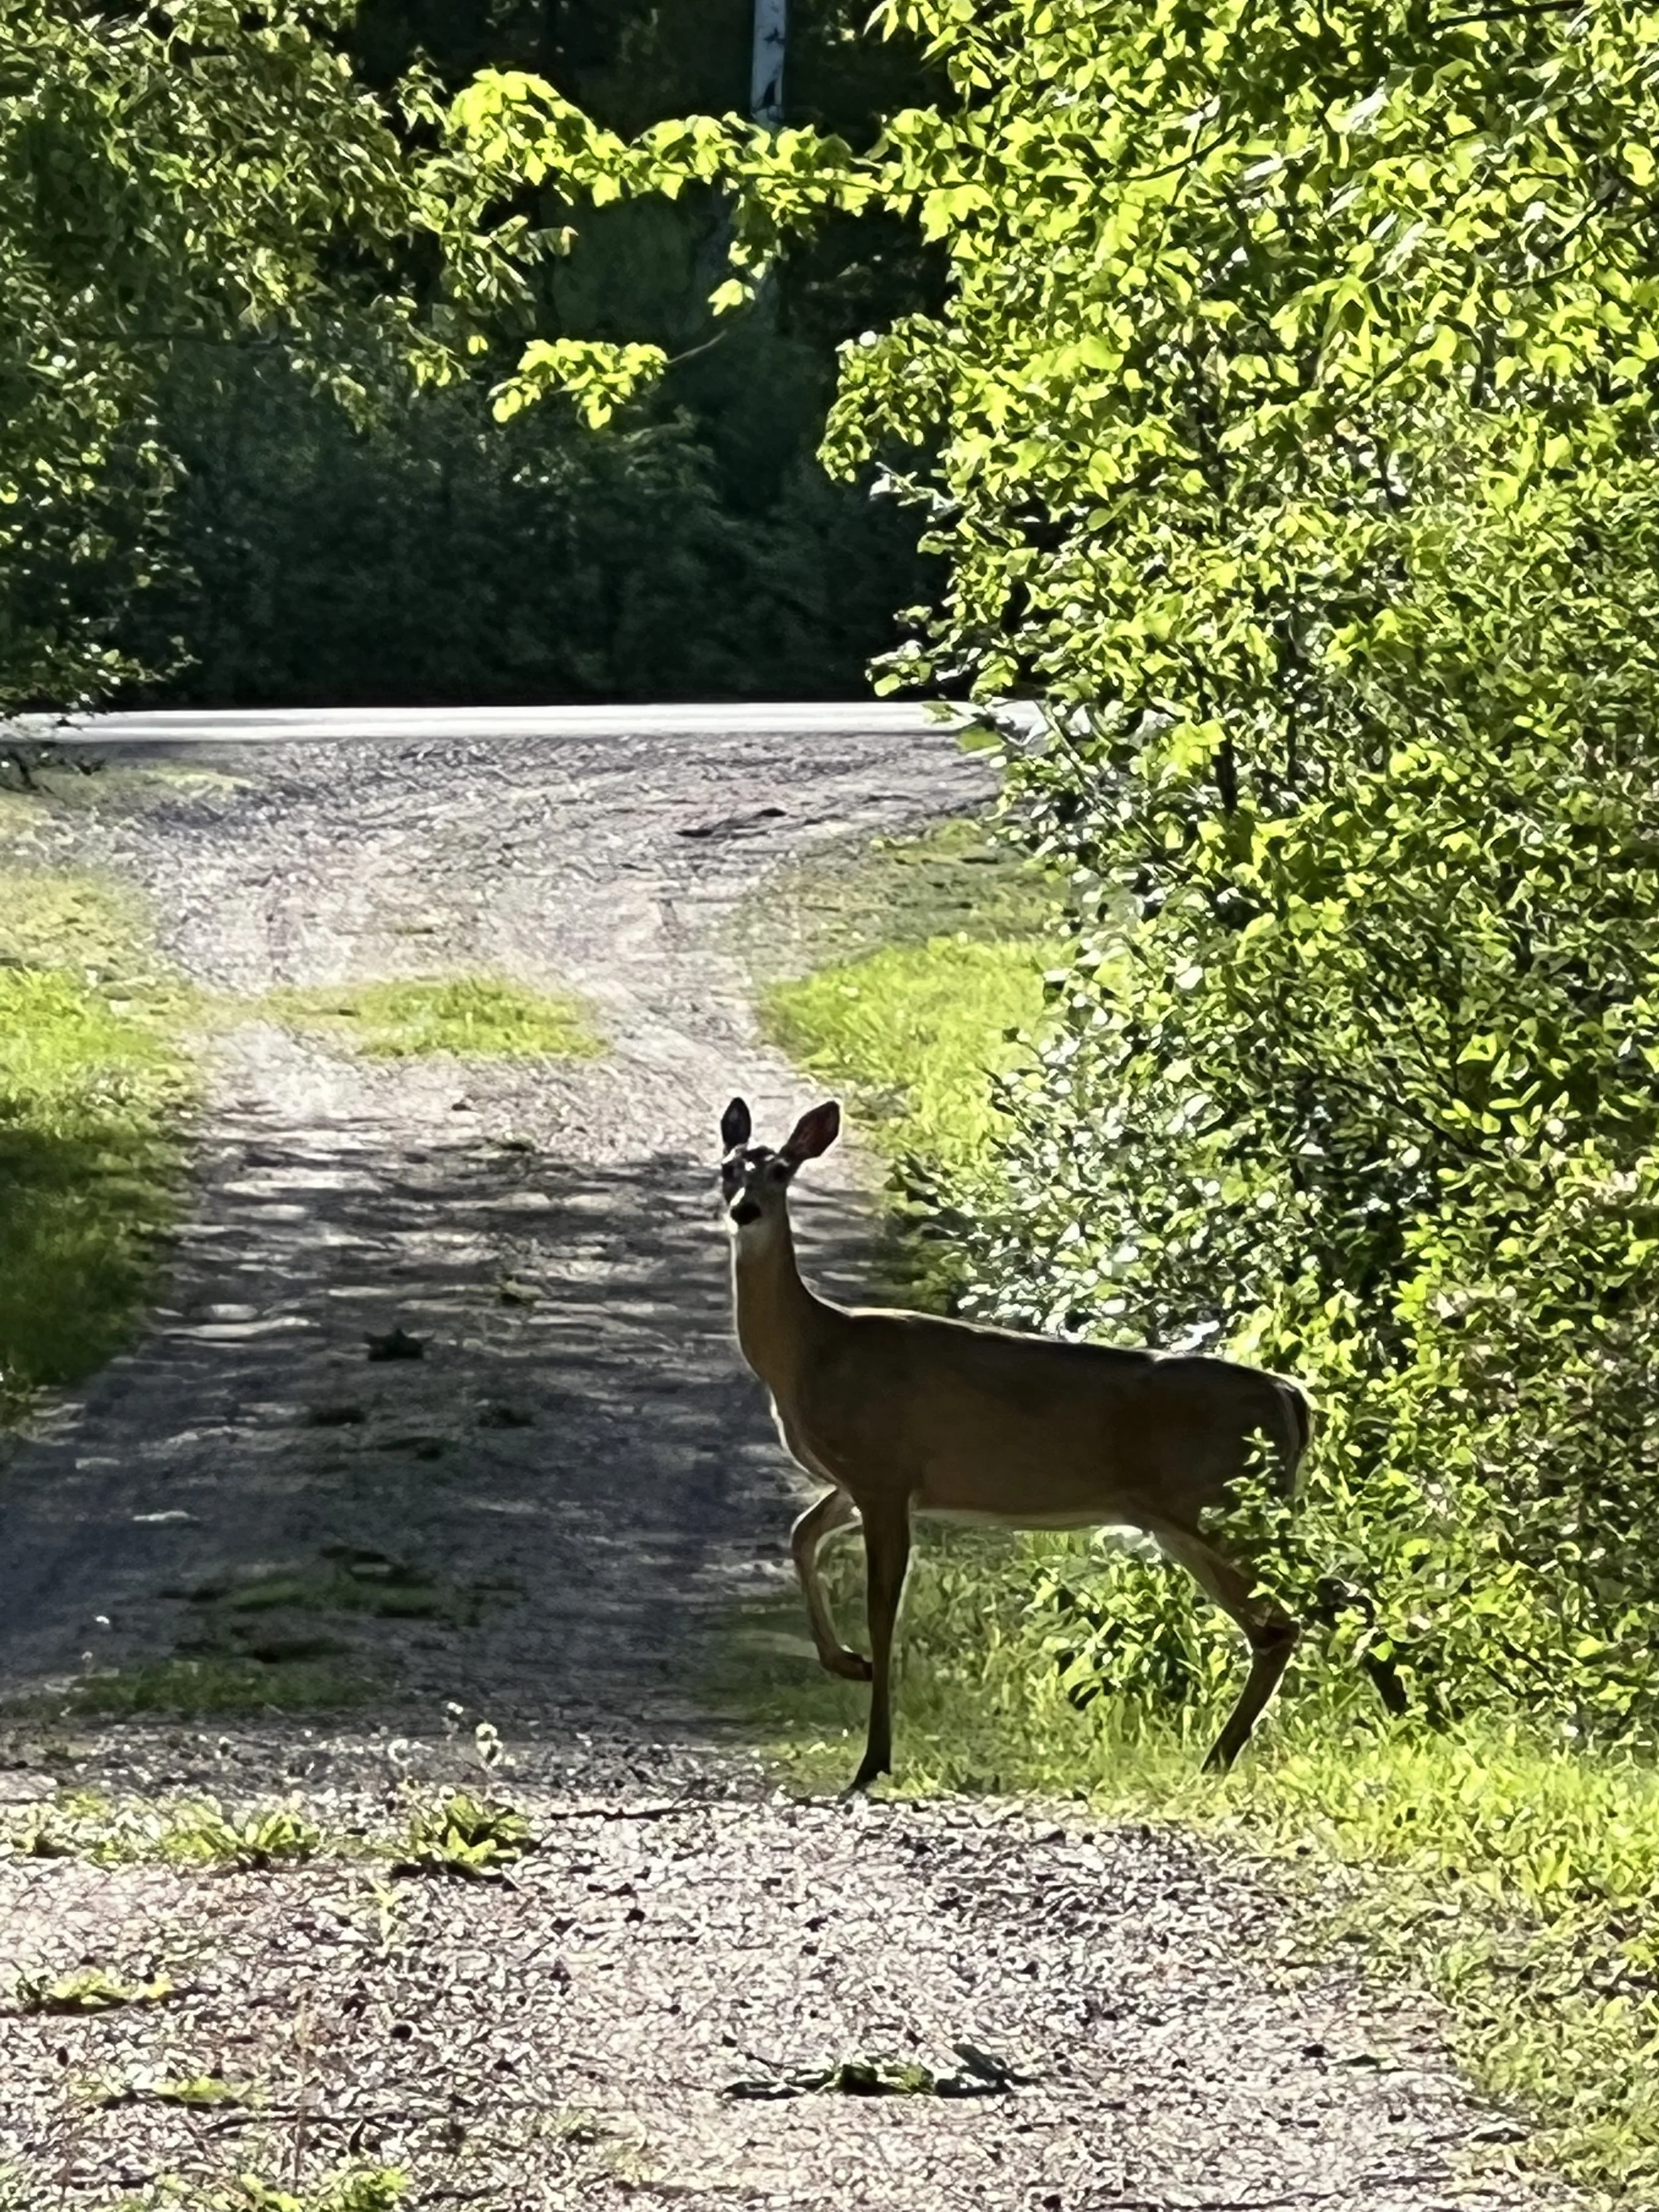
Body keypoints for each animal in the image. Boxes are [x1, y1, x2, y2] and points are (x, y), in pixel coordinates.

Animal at [719, 1093, 1321, 1794]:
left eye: (781, 1170)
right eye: (729, 1167)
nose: (745, 1210)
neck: (811, 1350)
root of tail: (1290, 1394)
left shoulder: (884, 1469)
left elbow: (881, 1610)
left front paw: (874, 1757)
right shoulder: (865, 1479)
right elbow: (801, 1534)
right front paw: (849, 1664)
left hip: (1222, 1504)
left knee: (1304, 1610)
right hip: (1193, 1519)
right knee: (1278, 1624)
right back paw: (1221, 1758)